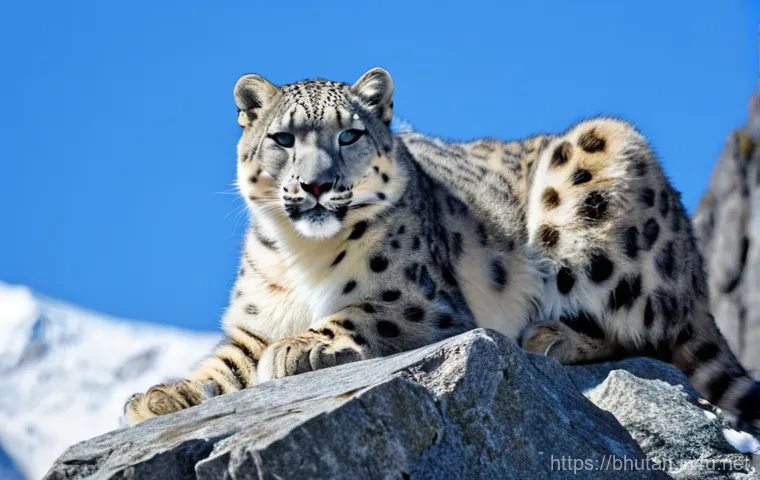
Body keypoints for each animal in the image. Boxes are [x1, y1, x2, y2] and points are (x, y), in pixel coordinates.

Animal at [123, 68, 760, 433]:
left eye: (349, 134)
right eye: (282, 138)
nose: (317, 185)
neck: (302, 257)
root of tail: (692, 259)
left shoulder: (422, 302)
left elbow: (358, 313)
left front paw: (299, 347)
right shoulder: (251, 322)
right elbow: (222, 365)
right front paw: (160, 395)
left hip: (600, 174)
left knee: (651, 333)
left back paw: (552, 337)